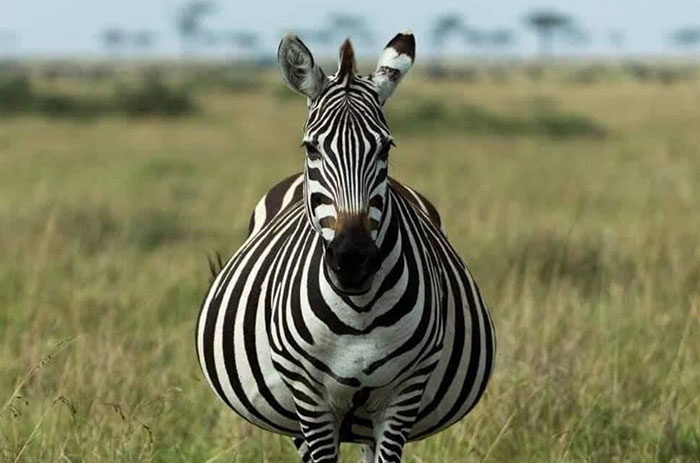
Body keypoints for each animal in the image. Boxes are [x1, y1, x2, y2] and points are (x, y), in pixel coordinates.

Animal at [196, 31, 496, 463]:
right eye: (311, 149)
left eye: (386, 148)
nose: (353, 261)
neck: (358, 311)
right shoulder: (309, 395)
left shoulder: (404, 393)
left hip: (367, 421)